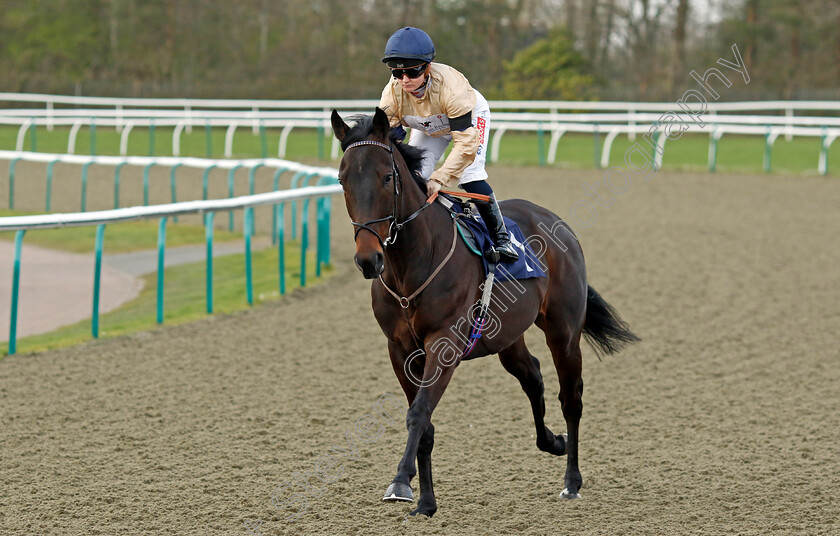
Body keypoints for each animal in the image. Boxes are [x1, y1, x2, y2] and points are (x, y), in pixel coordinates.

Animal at [332, 107, 640, 516]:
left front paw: (400, 482)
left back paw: (572, 481)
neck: (412, 264)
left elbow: (419, 413)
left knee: (570, 397)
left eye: (386, 177)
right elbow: (424, 422)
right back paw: (552, 442)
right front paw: (426, 502)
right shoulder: (399, 350)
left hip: (563, 330)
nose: (369, 259)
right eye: (343, 180)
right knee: (533, 377)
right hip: (506, 336)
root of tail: (555, 221)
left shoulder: (444, 344)